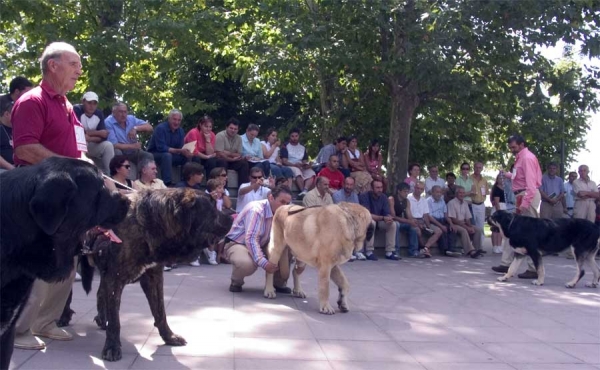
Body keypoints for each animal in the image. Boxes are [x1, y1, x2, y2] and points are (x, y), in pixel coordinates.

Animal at [77, 188, 232, 362]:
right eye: (212, 206)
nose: (231, 217)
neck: (147, 226)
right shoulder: (115, 279)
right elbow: (116, 319)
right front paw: (112, 346)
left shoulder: (153, 277)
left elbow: (160, 311)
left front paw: (169, 337)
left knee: (100, 293)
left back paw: (102, 319)